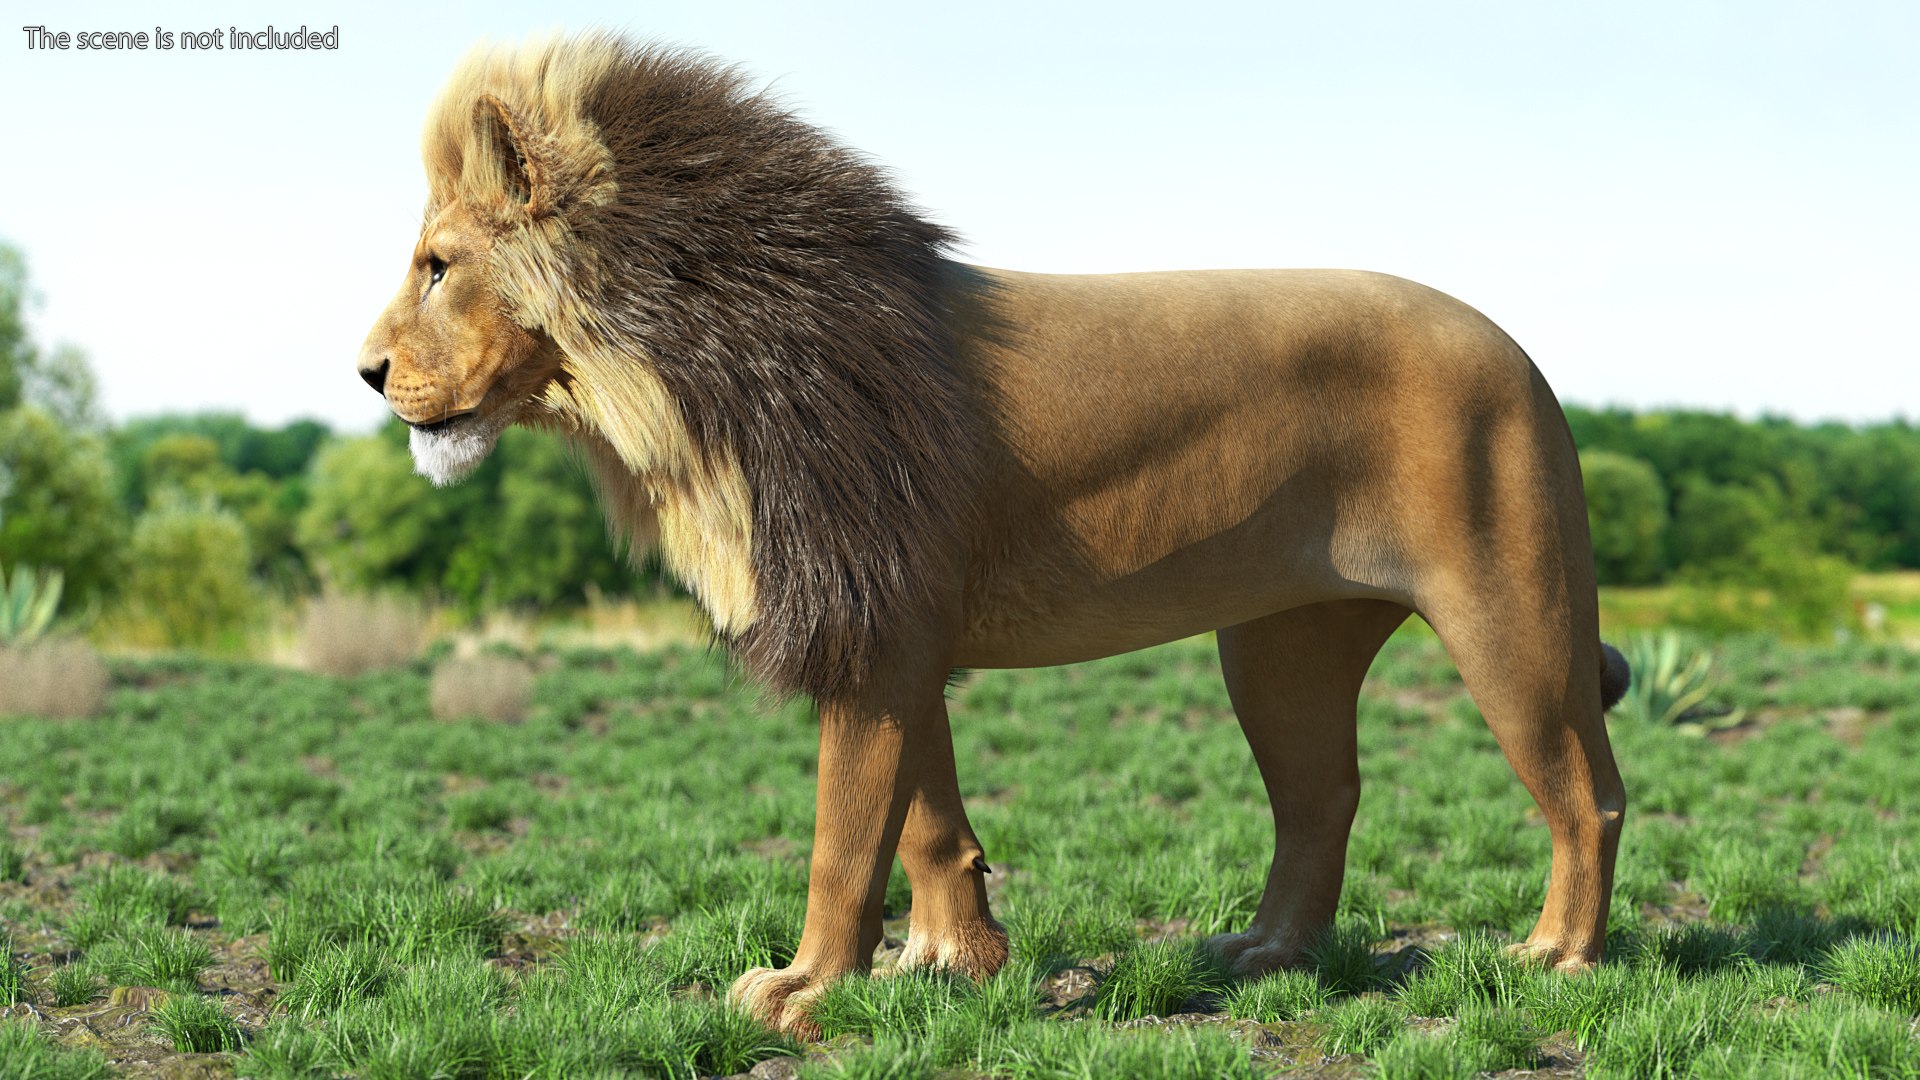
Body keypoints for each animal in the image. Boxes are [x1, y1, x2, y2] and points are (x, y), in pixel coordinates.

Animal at [358, 33, 1630, 1035]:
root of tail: (1520, 351)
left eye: (438, 266)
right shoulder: (889, 625)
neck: (678, 377)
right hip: (1282, 645)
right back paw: (1267, 957)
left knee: (1586, 791)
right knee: (1323, 798)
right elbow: (927, 819)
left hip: (1507, 614)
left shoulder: (869, 625)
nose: (366, 372)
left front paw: (807, 990)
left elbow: (844, 836)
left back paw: (1556, 958)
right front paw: (952, 963)